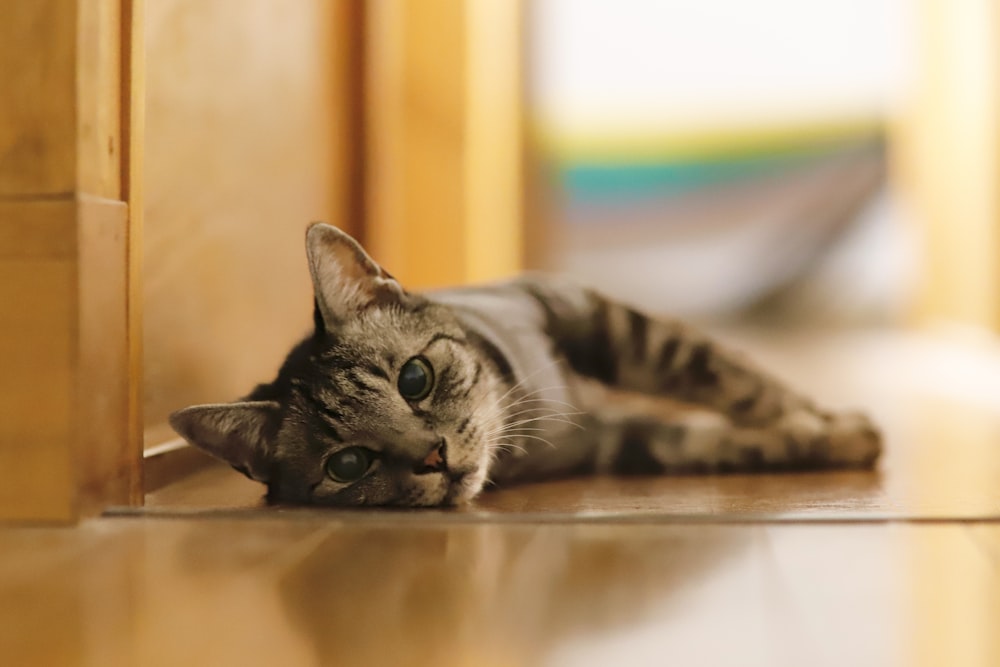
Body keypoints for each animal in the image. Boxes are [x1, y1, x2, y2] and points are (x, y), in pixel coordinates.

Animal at [172, 223, 884, 506]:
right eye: (348, 464)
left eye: (414, 378)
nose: (433, 456)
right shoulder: (612, 440)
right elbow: (715, 443)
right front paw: (827, 436)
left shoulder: (588, 313)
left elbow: (725, 374)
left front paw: (820, 418)